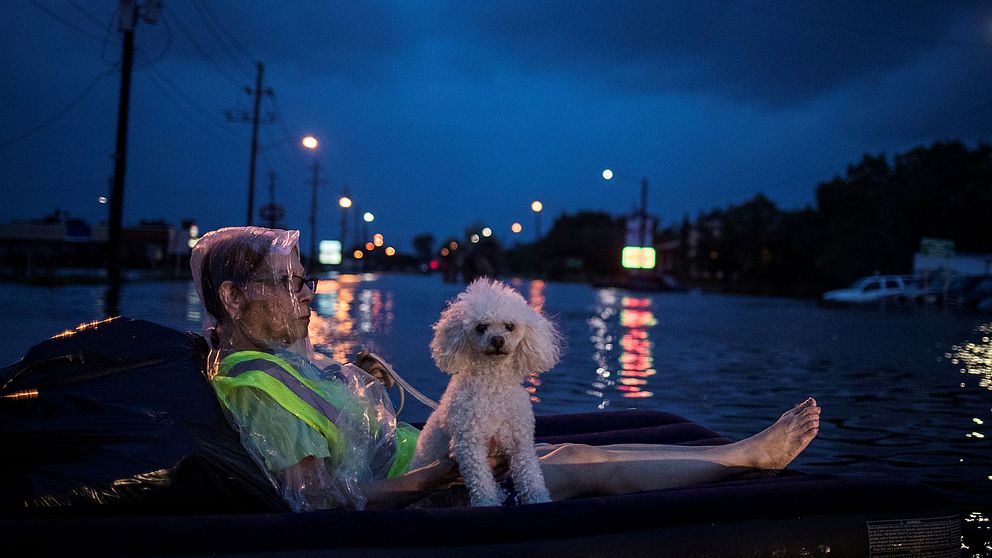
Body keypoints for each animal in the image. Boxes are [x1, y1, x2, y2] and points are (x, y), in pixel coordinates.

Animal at [410, 280, 560, 508]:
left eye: (509, 326)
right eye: (481, 327)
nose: (497, 340)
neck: (493, 383)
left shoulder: (520, 441)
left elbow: (531, 475)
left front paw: (539, 499)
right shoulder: (469, 443)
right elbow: (481, 480)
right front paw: (487, 503)